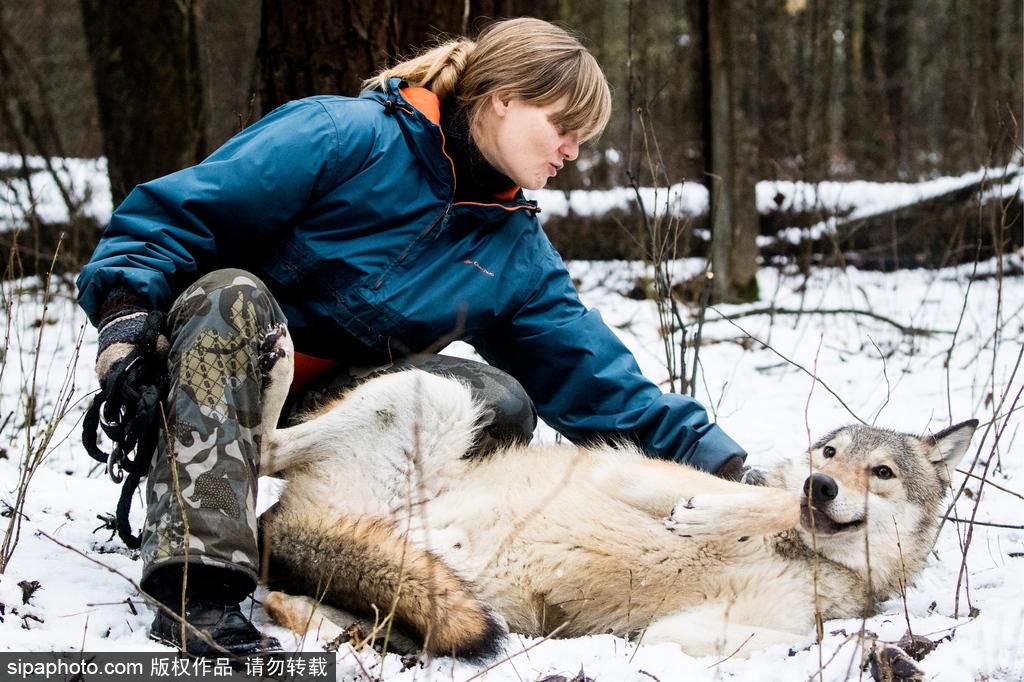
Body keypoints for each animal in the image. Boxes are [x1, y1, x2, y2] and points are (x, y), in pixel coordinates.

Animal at [253, 339, 974, 659]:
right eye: (827, 453)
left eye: (881, 472)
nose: (819, 486)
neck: (799, 552)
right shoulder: (626, 477)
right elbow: (742, 496)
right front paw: (721, 513)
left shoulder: (681, 633)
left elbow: (779, 641)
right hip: (439, 395)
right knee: (266, 442)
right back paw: (265, 357)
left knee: (295, 600)